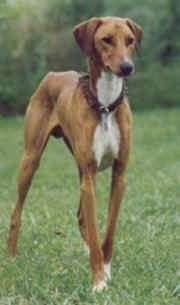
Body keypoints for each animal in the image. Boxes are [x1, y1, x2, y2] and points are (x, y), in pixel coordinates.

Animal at [7, 16, 142, 290]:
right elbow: (95, 227)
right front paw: (98, 282)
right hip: (31, 160)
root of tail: (53, 74)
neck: (105, 105)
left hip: (79, 168)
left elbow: (108, 229)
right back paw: (12, 258)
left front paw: (106, 271)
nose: (127, 67)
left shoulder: (119, 174)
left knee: (81, 217)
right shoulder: (90, 176)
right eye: (106, 39)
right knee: (16, 213)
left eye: (130, 40)